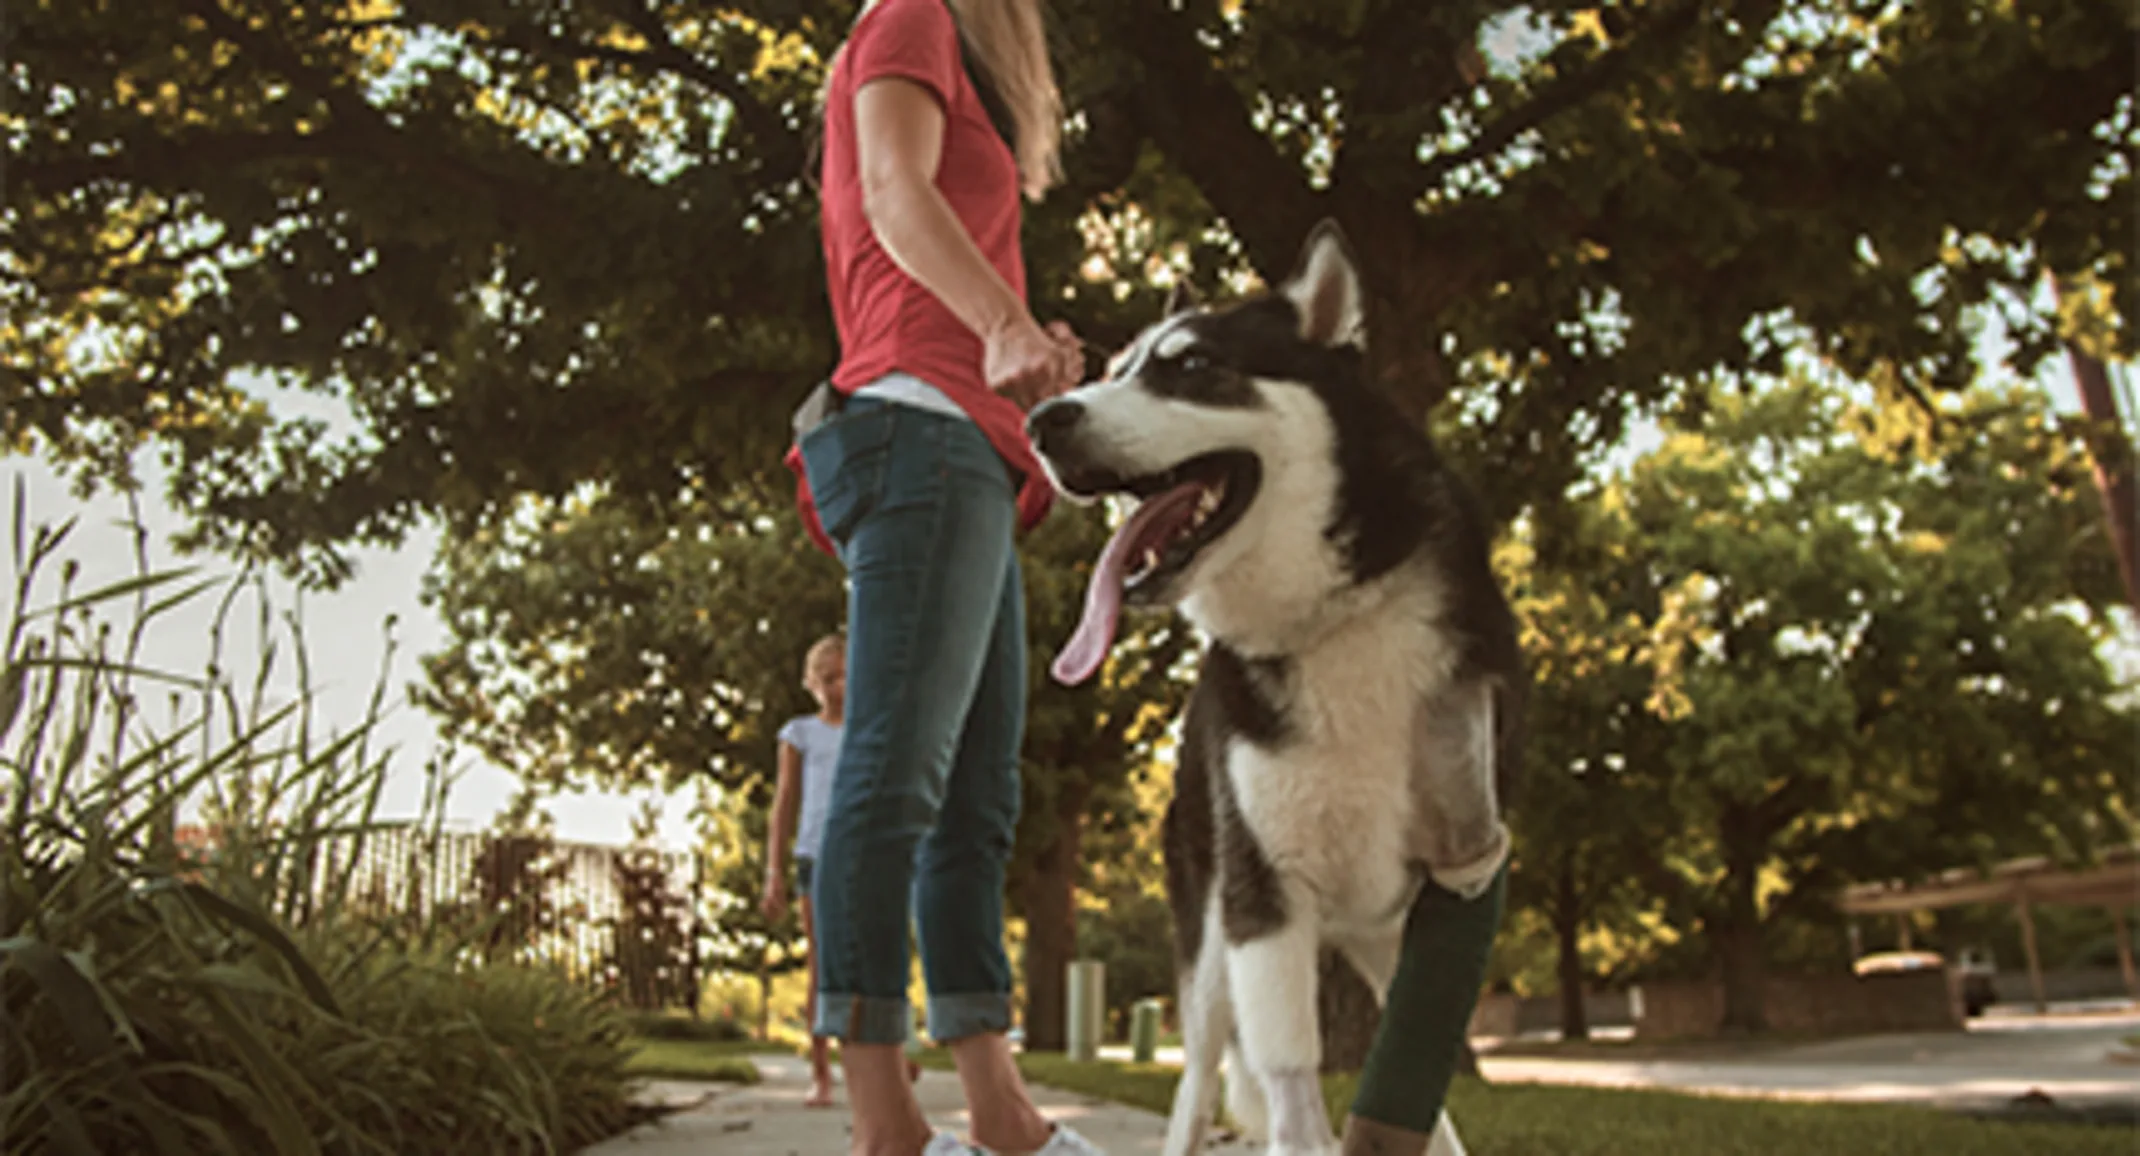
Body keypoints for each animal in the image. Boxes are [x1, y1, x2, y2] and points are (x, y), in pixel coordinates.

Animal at [1022, 219, 1515, 1156]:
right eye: (1118, 368)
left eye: (1189, 366)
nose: (1040, 419)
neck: (1336, 616)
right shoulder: (1265, 898)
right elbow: (1290, 1084)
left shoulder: (1463, 869)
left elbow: (1413, 1082)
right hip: (1215, 938)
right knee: (1197, 1077)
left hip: (1379, 932)